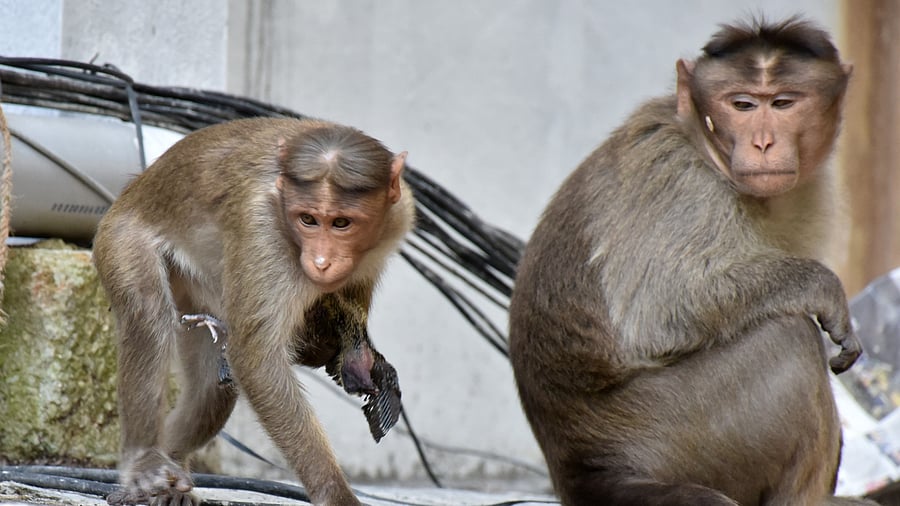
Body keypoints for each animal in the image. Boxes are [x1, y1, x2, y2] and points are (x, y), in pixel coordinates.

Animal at [92, 117, 415, 506]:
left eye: (342, 223)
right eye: (308, 219)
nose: (322, 261)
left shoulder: (398, 215)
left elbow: (351, 294)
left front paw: (355, 355)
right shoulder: (265, 232)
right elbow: (256, 360)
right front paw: (334, 493)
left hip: (197, 288)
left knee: (211, 392)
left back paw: (170, 468)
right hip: (121, 237)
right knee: (148, 318)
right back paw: (145, 465)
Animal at [508, 16, 877, 506]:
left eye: (783, 103)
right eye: (741, 104)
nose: (762, 142)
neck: (709, 151)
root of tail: (582, 469)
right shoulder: (678, 179)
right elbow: (659, 311)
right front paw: (822, 286)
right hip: (672, 431)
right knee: (788, 337)